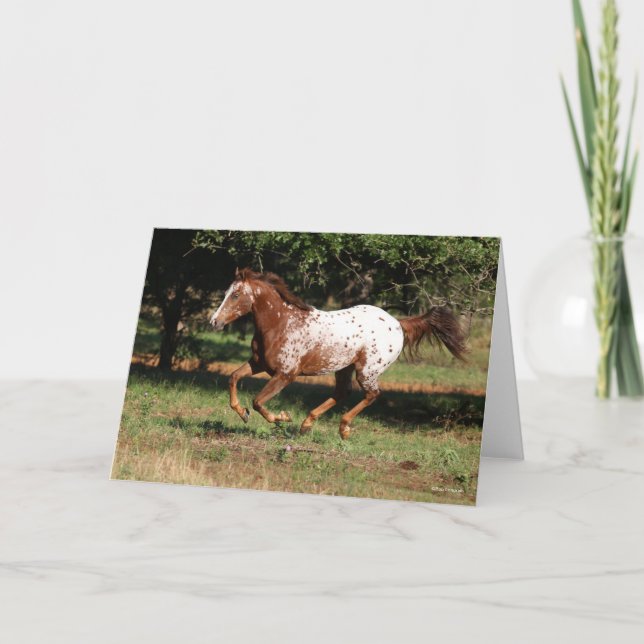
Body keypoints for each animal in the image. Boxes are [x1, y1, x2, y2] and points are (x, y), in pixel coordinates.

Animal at [210, 268, 467, 439]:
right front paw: (242, 413)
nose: (214, 322)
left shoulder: (285, 375)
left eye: (235, 295)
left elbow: (258, 401)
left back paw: (343, 428)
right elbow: (233, 378)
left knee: (372, 394)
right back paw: (307, 425)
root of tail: (398, 324)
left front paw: (282, 418)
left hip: (367, 371)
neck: (281, 323)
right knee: (343, 392)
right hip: (344, 367)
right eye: (227, 292)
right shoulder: (258, 364)